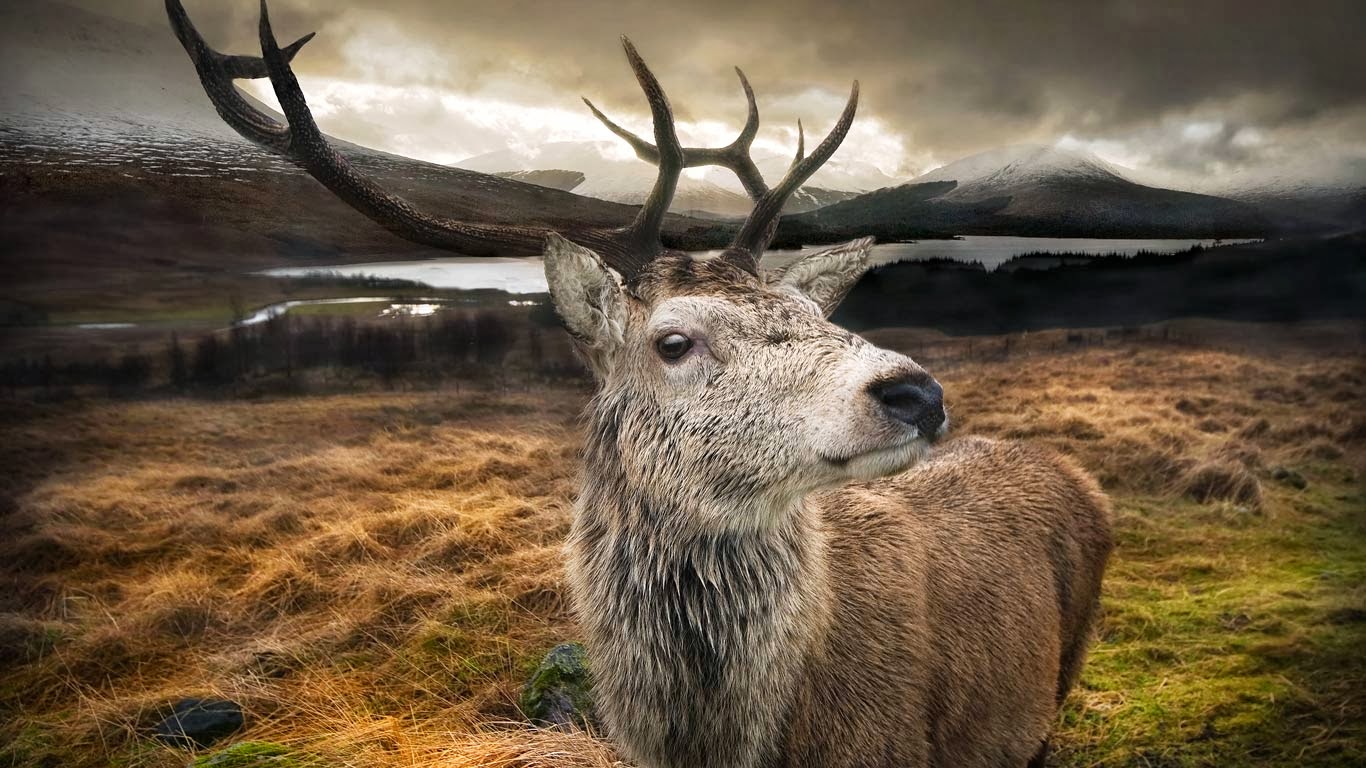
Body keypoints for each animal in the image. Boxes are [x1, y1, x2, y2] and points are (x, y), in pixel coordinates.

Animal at [168, 2, 1113, 766]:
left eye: (810, 313)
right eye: (673, 340)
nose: (915, 392)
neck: (726, 743)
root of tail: (1080, 476)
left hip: (1060, 678)